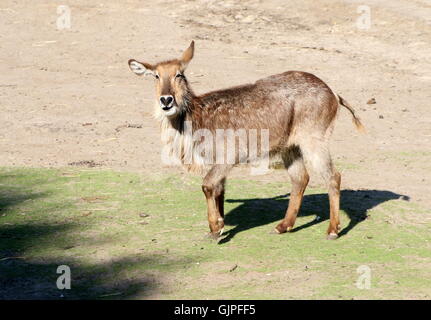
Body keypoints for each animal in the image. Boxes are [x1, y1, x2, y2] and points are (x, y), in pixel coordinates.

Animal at [128, 40, 364, 240]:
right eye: (155, 76)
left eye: (179, 74)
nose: (166, 100)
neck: (198, 117)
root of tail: (333, 93)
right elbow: (219, 189)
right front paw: (219, 225)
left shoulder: (228, 156)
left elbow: (207, 185)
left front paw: (215, 228)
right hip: (290, 147)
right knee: (300, 178)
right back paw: (282, 226)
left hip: (313, 141)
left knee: (333, 176)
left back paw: (332, 230)